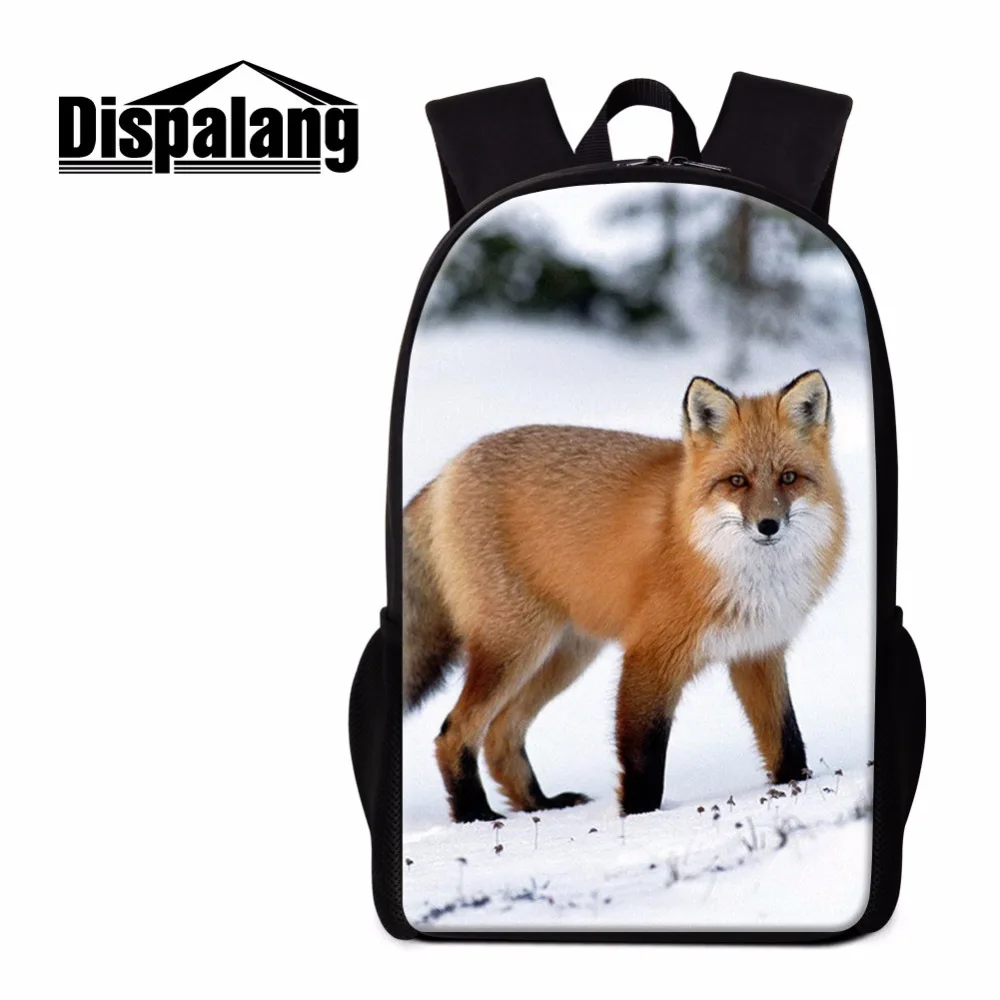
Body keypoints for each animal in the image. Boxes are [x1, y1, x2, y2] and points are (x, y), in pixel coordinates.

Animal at [403, 370, 845, 822]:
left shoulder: (757, 652)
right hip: (514, 648)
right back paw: (475, 816)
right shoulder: (649, 656)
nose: (768, 525)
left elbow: (786, 740)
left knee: (500, 735)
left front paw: (798, 789)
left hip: (566, 656)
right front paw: (639, 821)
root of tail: (449, 469)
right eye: (737, 481)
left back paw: (539, 805)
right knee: (453, 733)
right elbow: (642, 758)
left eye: (788, 477)